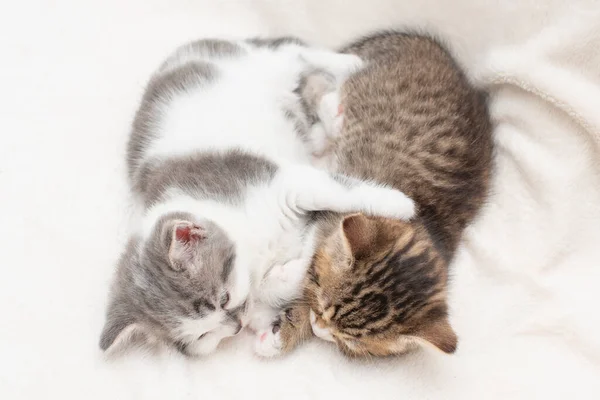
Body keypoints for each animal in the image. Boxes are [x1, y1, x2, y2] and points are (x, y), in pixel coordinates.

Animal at [99, 36, 418, 356]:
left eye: (224, 299)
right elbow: (266, 289)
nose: (236, 327)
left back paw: (348, 64)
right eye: (203, 336)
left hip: (261, 65)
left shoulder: (279, 181)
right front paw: (274, 307)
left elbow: (335, 191)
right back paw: (326, 123)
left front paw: (399, 204)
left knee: (294, 54)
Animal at [260, 31, 494, 356]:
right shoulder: (332, 212)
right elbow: (307, 259)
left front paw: (283, 332)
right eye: (323, 303)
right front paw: (277, 288)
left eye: (350, 340)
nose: (320, 330)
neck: (426, 225)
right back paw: (333, 110)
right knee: (317, 83)